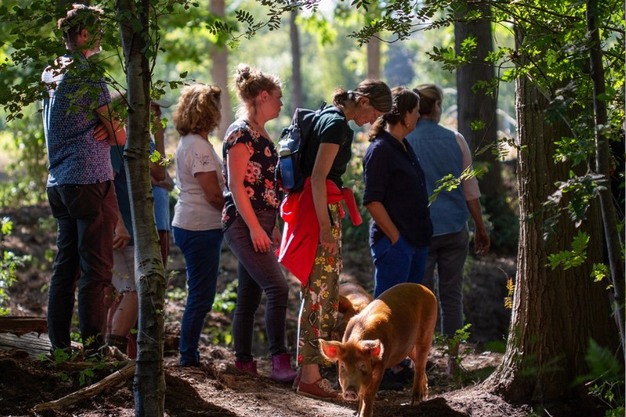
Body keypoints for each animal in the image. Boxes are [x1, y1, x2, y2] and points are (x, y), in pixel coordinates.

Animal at [320, 282, 437, 417]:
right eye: (343, 366)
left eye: (362, 365)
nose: (350, 391)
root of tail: (426, 289)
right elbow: (362, 394)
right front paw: (357, 414)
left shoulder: (381, 364)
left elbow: (368, 393)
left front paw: (364, 414)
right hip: (409, 347)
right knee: (418, 362)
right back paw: (424, 395)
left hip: (427, 332)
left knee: (420, 365)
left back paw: (415, 402)